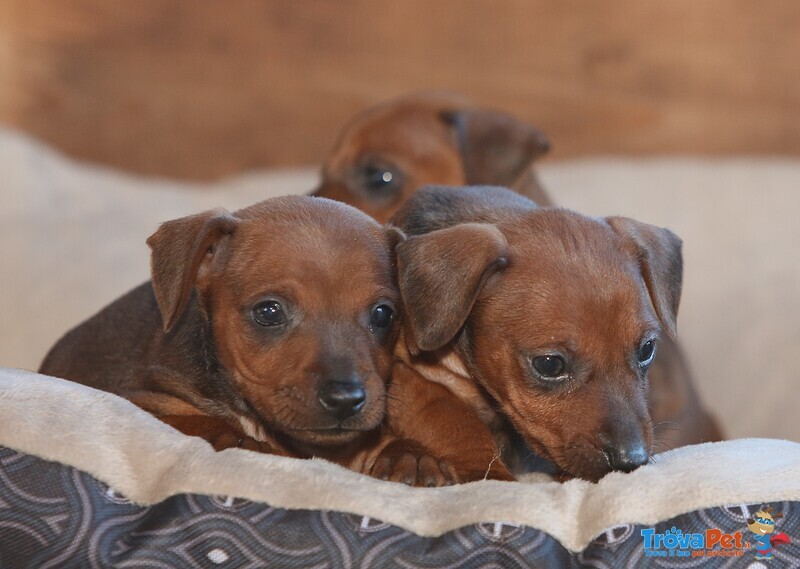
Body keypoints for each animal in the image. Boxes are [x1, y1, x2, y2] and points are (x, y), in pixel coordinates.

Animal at [388, 186, 688, 480]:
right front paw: (490, 473)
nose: (632, 460)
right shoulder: (407, 374)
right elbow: (454, 419)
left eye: (647, 349)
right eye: (550, 364)